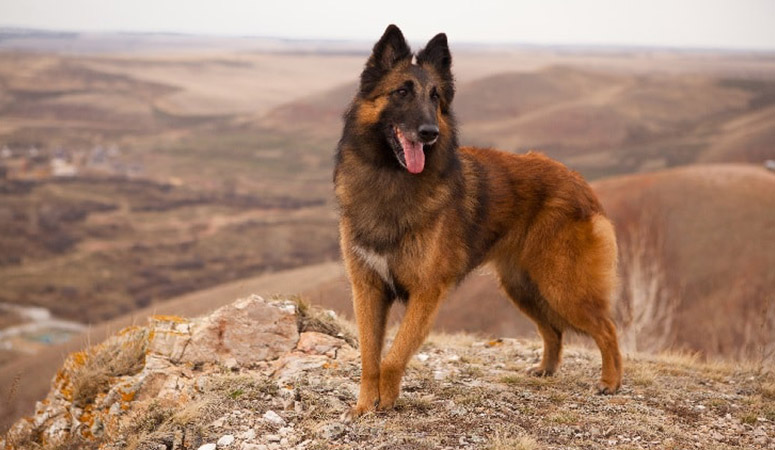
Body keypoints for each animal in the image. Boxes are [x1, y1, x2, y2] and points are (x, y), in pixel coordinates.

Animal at [334, 23, 624, 418]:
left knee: (606, 329)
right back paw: (546, 369)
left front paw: (387, 402)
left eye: (436, 97)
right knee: (554, 331)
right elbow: (369, 357)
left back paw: (610, 382)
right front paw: (365, 406)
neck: (391, 178)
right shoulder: (368, 288)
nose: (429, 133)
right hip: (523, 287)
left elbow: (393, 357)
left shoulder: (426, 292)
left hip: (562, 286)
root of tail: (581, 183)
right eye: (401, 92)